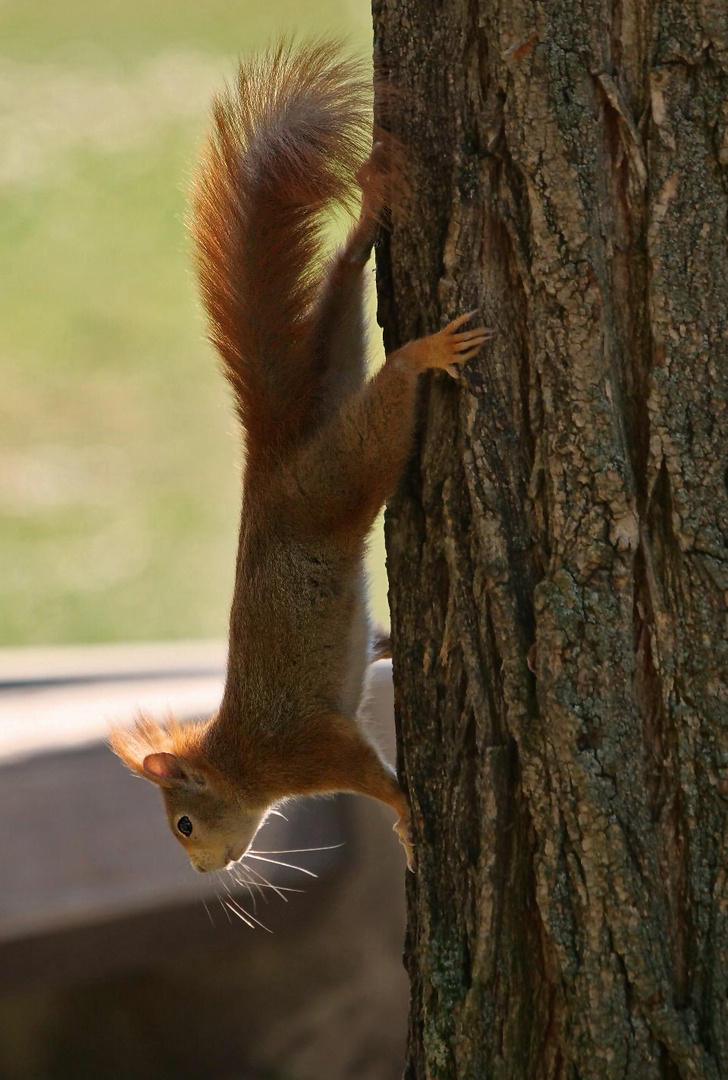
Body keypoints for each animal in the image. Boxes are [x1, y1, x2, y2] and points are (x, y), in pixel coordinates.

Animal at [110, 42, 490, 876]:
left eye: (183, 824)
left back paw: (423, 353)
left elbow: (370, 777)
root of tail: (271, 464)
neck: (242, 762)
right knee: (343, 286)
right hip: (333, 377)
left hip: (338, 476)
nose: (205, 870)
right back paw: (368, 217)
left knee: (387, 398)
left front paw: (404, 820)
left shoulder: (308, 748)